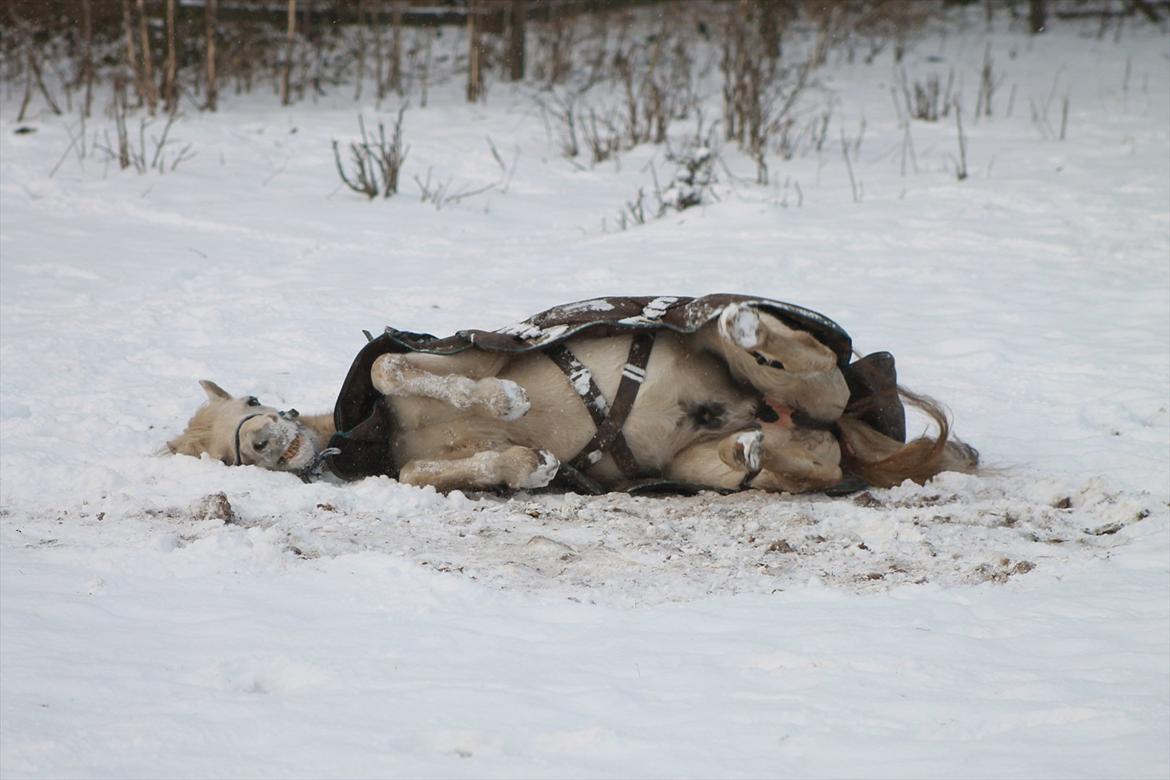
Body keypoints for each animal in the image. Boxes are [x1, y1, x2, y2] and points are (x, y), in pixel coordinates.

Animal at [169, 295, 978, 498]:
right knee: (806, 456)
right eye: (230, 457)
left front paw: (504, 402)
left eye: (251, 399)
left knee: (786, 352)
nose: (267, 439)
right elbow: (433, 471)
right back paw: (754, 446)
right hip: (713, 459)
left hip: (793, 374)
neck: (372, 433)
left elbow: (389, 369)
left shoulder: (457, 349)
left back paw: (744, 323)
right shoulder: (411, 467)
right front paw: (526, 464)